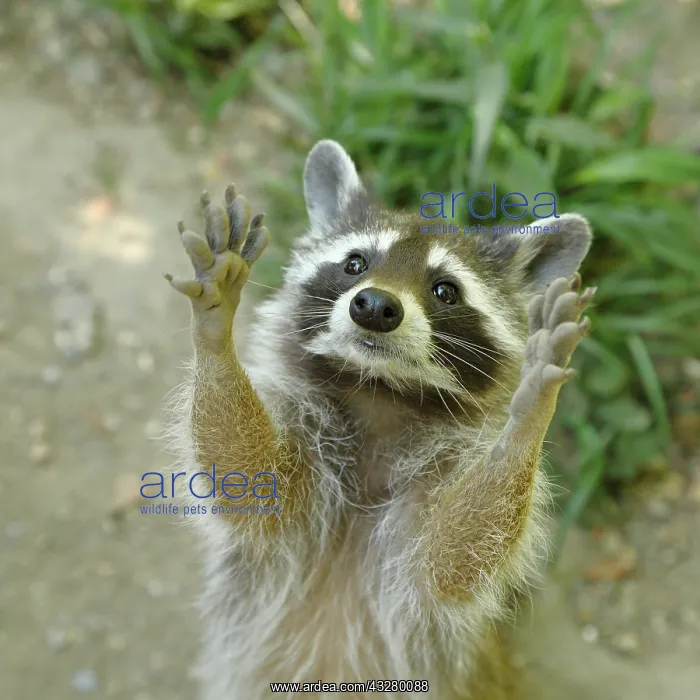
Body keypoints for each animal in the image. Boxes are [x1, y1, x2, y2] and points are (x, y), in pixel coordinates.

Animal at [164, 140, 594, 699]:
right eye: (355, 263)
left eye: (445, 291)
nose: (372, 306)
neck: (380, 393)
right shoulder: (306, 435)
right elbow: (250, 484)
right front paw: (215, 331)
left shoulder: (442, 473)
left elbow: (449, 562)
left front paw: (530, 413)